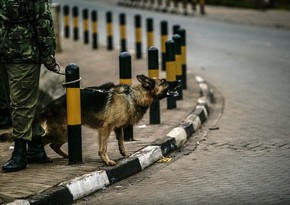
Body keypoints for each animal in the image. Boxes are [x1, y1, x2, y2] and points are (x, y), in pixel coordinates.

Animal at [39, 74, 179, 166]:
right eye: (164, 82)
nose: (179, 80)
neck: (132, 96)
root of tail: (48, 107)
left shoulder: (117, 127)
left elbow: (121, 141)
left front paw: (124, 153)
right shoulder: (106, 127)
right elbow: (103, 148)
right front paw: (106, 161)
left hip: (66, 134)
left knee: (53, 145)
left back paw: (65, 156)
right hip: (62, 132)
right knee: (41, 140)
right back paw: (44, 157)